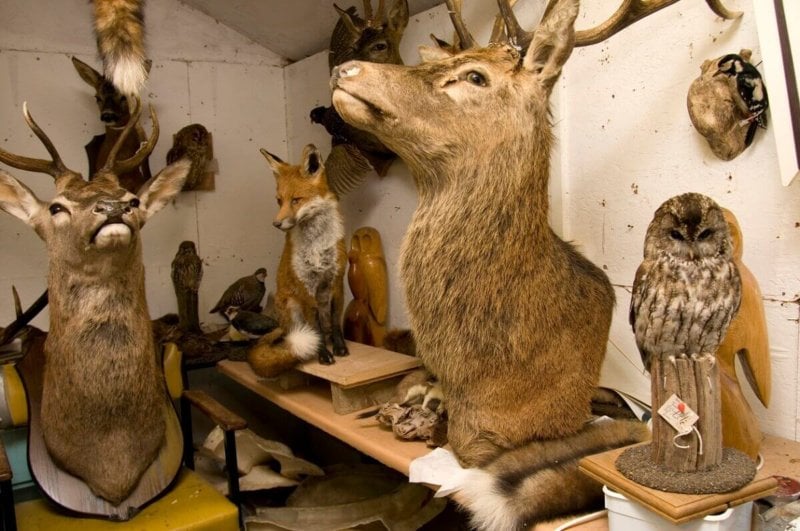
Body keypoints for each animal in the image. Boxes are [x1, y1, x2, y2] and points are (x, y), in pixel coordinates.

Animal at [248, 145, 348, 378]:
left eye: (296, 200)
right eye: (279, 201)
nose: (276, 223)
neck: (317, 245)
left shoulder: (336, 281)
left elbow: (336, 321)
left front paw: (340, 349)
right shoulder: (305, 287)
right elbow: (315, 328)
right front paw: (323, 355)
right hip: (291, 306)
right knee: (295, 335)